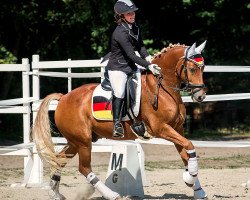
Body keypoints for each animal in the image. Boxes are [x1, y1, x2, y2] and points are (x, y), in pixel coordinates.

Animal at [32, 41, 207, 198]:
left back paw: (54, 193)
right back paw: (112, 194)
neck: (163, 88)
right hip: (83, 141)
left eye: (203, 68)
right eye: (192, 69)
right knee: (84, 168)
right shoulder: (161, 129)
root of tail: (63, 98)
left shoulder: (177, 129)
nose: (201, 96)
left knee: (60, 160)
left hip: (75, 141)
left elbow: (186, 154)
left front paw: (196, 187)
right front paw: (190, 177)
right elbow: (189, 145)